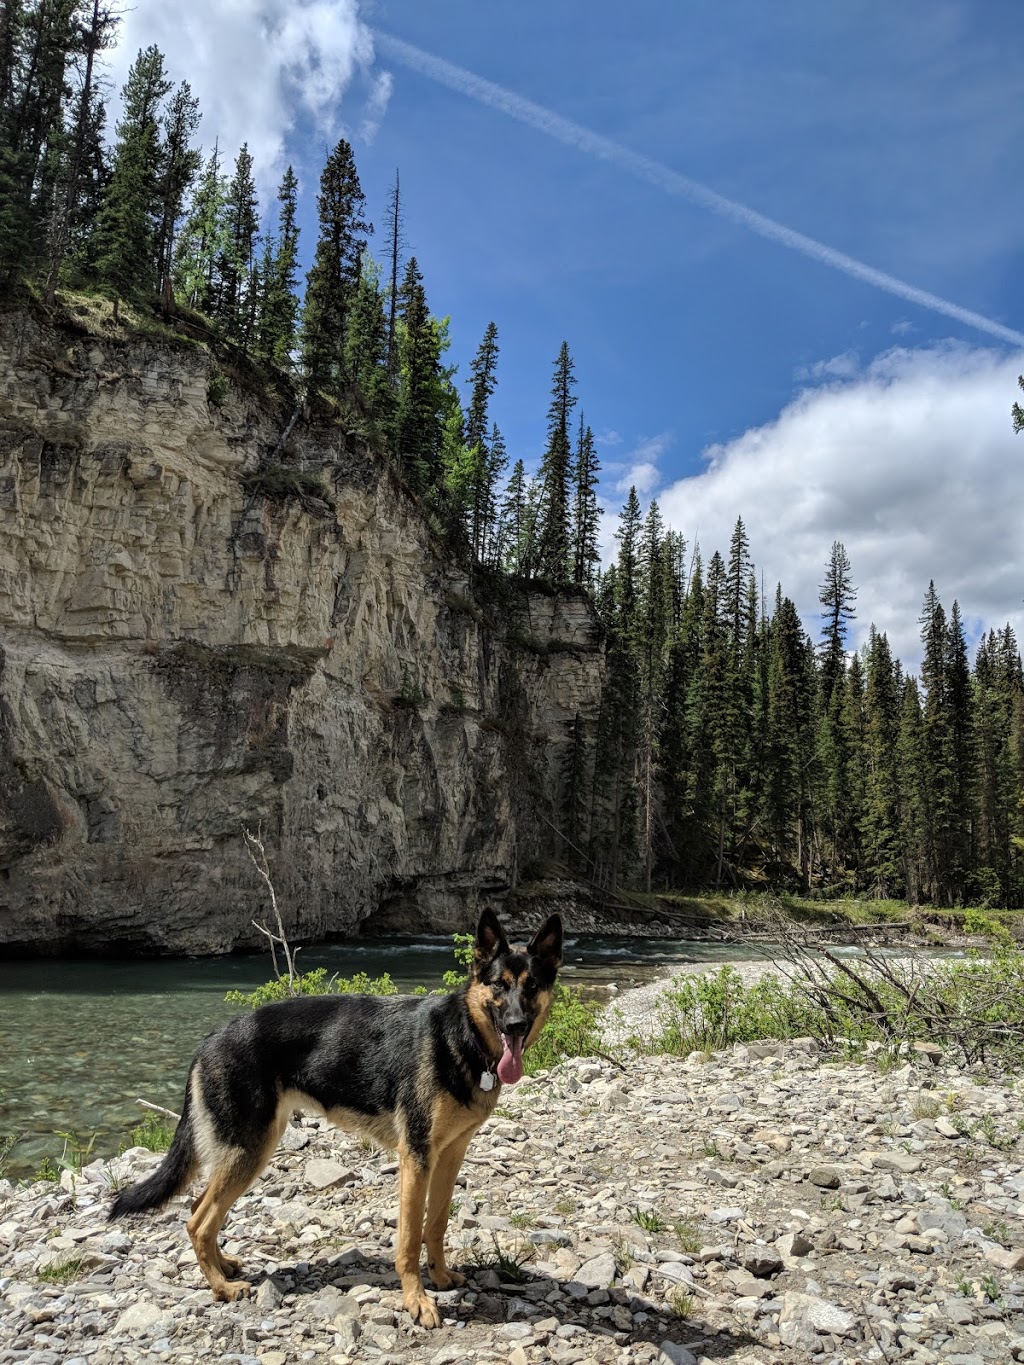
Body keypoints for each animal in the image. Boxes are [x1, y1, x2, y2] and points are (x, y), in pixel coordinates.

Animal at [108, 911, 565, 1326]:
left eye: (532, 986)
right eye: (498, 986)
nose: (515, 1025)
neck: (463, 1037)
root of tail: (209, 1039)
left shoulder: (449, 1156)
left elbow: (435, 1224)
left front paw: (440, 1277)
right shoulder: (416, 1158)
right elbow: (409, 1240)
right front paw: (416, 1301)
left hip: (247, 1151)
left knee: (199, 1208)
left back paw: (224, 1267)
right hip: (250, 1149)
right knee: (197, 1222)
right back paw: (222, 1288)